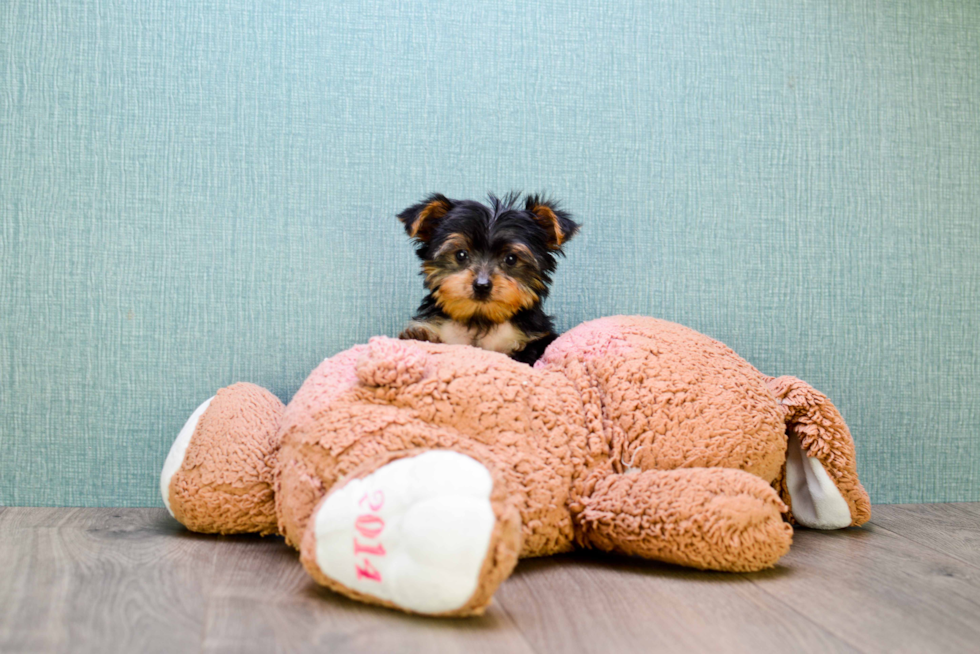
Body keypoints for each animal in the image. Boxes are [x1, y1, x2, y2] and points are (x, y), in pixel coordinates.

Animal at [398, 192, 580, 366]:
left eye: (511, 259)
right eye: (461, 255)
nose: (482, 285)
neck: (480, 320)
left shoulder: (534, 340)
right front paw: (421, 335)